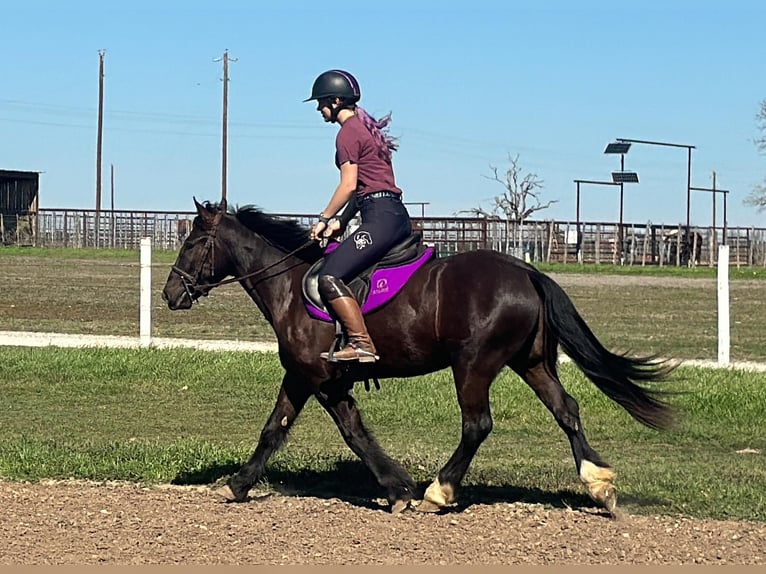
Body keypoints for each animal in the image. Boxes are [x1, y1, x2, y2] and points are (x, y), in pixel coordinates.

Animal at [164, 201, 680, 516]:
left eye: (191, 244)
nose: (170, 293)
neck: (291, 285)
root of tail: (525, 270)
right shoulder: (302, 377)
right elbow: (274, 429)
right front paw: (239, 483)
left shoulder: (322, 380)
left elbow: (353, 435)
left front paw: (399, 490)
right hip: (531, 363)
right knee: (566, 410)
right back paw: (599, 483)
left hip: (473, 366)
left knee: (477, 425)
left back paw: (440, 490)